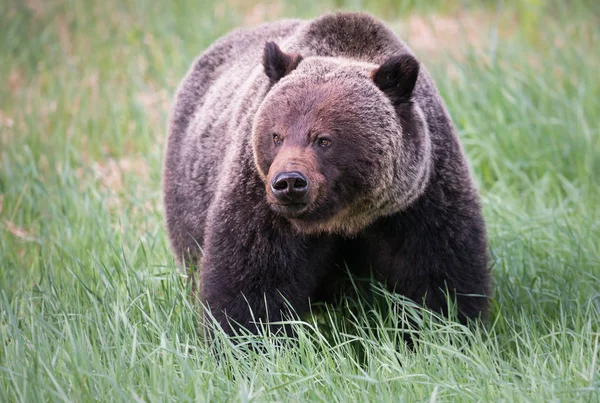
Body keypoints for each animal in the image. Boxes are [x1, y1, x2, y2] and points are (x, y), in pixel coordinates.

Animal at [162, 11, 490, 338]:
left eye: (323, 139)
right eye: (276, 135)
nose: (289, 182)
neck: (343, 218)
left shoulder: (419, 202)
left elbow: (439, 277)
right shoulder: (260, 203)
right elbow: (251, 283)